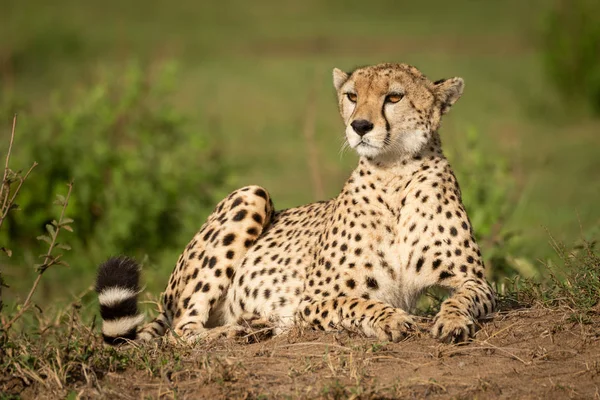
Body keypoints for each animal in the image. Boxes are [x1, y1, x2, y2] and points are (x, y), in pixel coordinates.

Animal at [95, 61, 496, 344]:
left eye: (394, 97)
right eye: (352, 96)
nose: (360, 126)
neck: (393, 173)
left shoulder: (474, 279)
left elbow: (463, 298)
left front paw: (452, 321)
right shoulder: (314, 299)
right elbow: (360, 302)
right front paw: (393, 318)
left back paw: (253, 323)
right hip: (251, 194)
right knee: (179, 332)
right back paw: (236, 332)